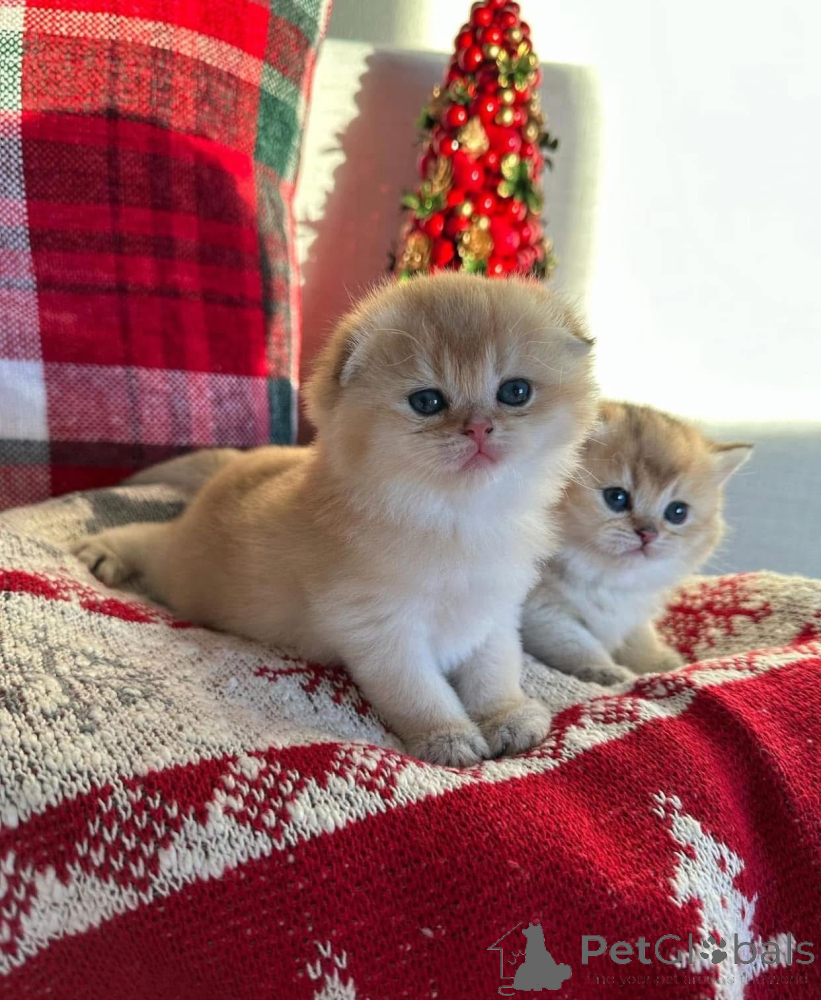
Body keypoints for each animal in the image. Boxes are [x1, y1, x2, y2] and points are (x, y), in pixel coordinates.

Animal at [73, 273, 598, 766]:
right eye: (427, 402)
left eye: (515, 392)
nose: (480, 429)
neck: (458, 517)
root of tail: (241, 463)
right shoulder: (381, 631)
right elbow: (421, 692)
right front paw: (448, 737)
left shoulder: (493, 617)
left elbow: (495, 673)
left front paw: (508, 718)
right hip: (186, 577)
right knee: (151, 539)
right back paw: (103, 551)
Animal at [522, 401, 752, 685]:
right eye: (617, 497)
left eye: (677, 512)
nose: (648, 534)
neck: (603, 579)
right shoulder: (541, 612)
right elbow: (574, 644)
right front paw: (603, 670)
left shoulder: (634, 614)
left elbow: (641, 639)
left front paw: (662, 663)